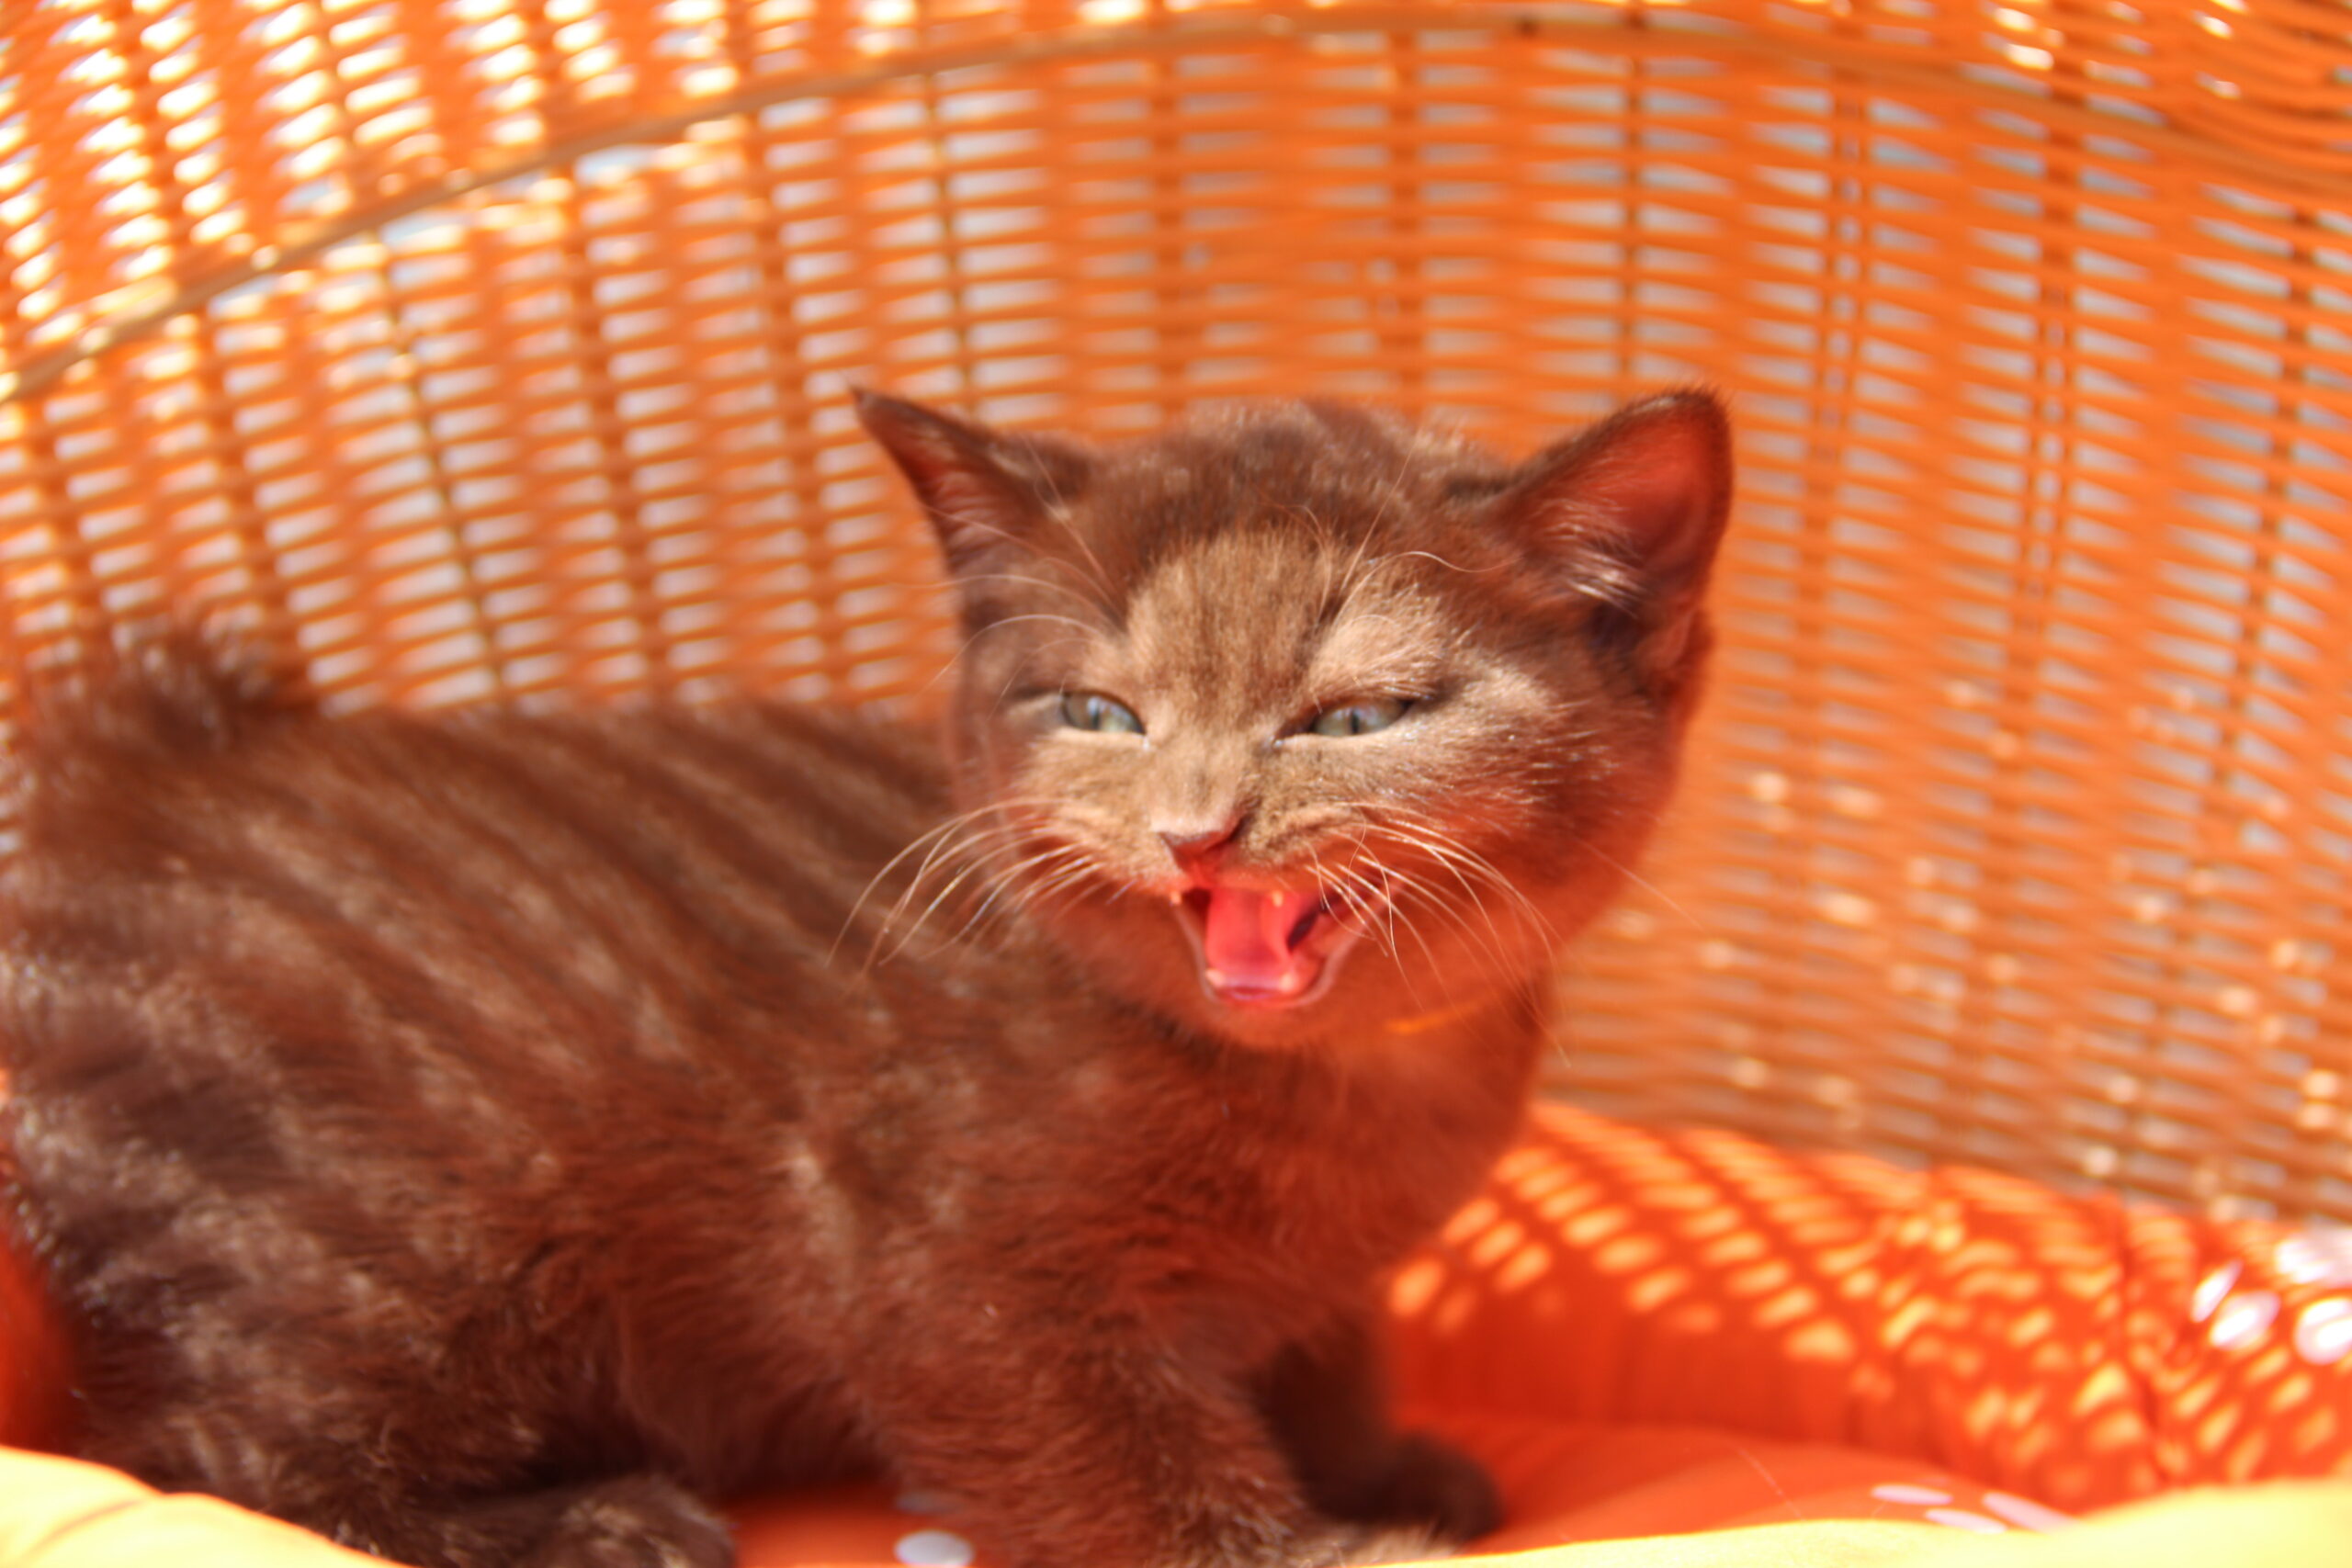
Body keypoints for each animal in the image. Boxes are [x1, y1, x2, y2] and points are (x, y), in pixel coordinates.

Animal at [0, 386, 1730, 1568]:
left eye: (1354, 721)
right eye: (1098, 714)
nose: (1195, 830)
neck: (1353, 1089)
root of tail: (105, 808)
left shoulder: (1330, 1277)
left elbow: (1328, 1348)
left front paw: (1374, 1462)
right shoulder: (947, 1270)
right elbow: (1118, 1461)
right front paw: (1321, 1543)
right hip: (410, 1229)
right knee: (206, 1448)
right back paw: (592, 1521)